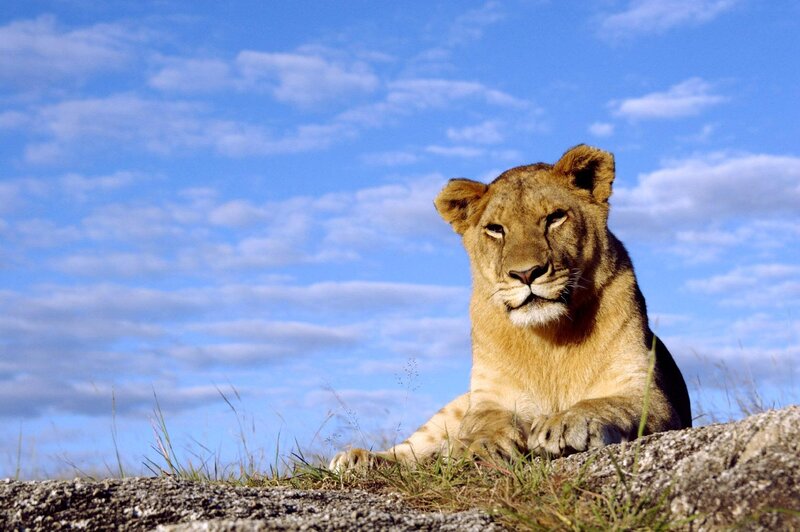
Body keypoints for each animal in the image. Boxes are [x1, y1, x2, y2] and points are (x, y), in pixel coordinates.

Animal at [330, 144, 692, 471]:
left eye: (555, 218)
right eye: (496, 229)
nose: (526, 273)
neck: (550, 338)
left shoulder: (651, 395)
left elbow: (606, 403)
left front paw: (562, 423)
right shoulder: (489, 398)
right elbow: (483, 424)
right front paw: (476, 447)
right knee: (411, 450)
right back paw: (359, 459)